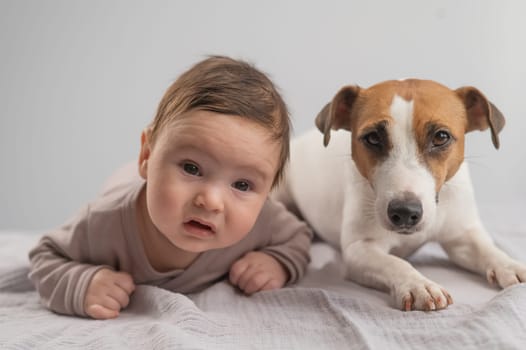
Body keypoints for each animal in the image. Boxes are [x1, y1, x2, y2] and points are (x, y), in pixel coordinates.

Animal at [276, 80, 526, 312]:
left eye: (441, 137)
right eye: (373, 138)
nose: (405, 212)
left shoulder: (462, 236)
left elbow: (488, 249)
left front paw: (510, 264)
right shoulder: (360, 249)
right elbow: (394, 263)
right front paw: (418, 285)